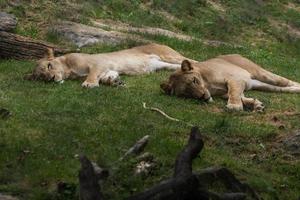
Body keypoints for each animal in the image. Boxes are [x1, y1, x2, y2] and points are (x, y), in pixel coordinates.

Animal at [25, 43, 190, 87]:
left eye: (49, 66)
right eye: (41, 77)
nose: (51, 78)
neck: (68, 71)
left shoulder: (97, 62)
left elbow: (92, 74)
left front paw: (89, 84)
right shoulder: (106, 68)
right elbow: (106, 76)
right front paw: (114, 81)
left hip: (170, 56)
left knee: (191, 60)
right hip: (163, 65)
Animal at [162, 54, 300, 111]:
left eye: (194, 81)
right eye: (186, 94)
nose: (202, 96)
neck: (208, 85)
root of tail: (236, 54)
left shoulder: (235, 79)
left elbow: (234, 93)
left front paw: (234, 106)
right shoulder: (234, 87)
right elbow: (240, 96)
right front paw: (256, 104)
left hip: (263, 74)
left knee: (287, 81)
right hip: (262, 85)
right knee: (284, 88)